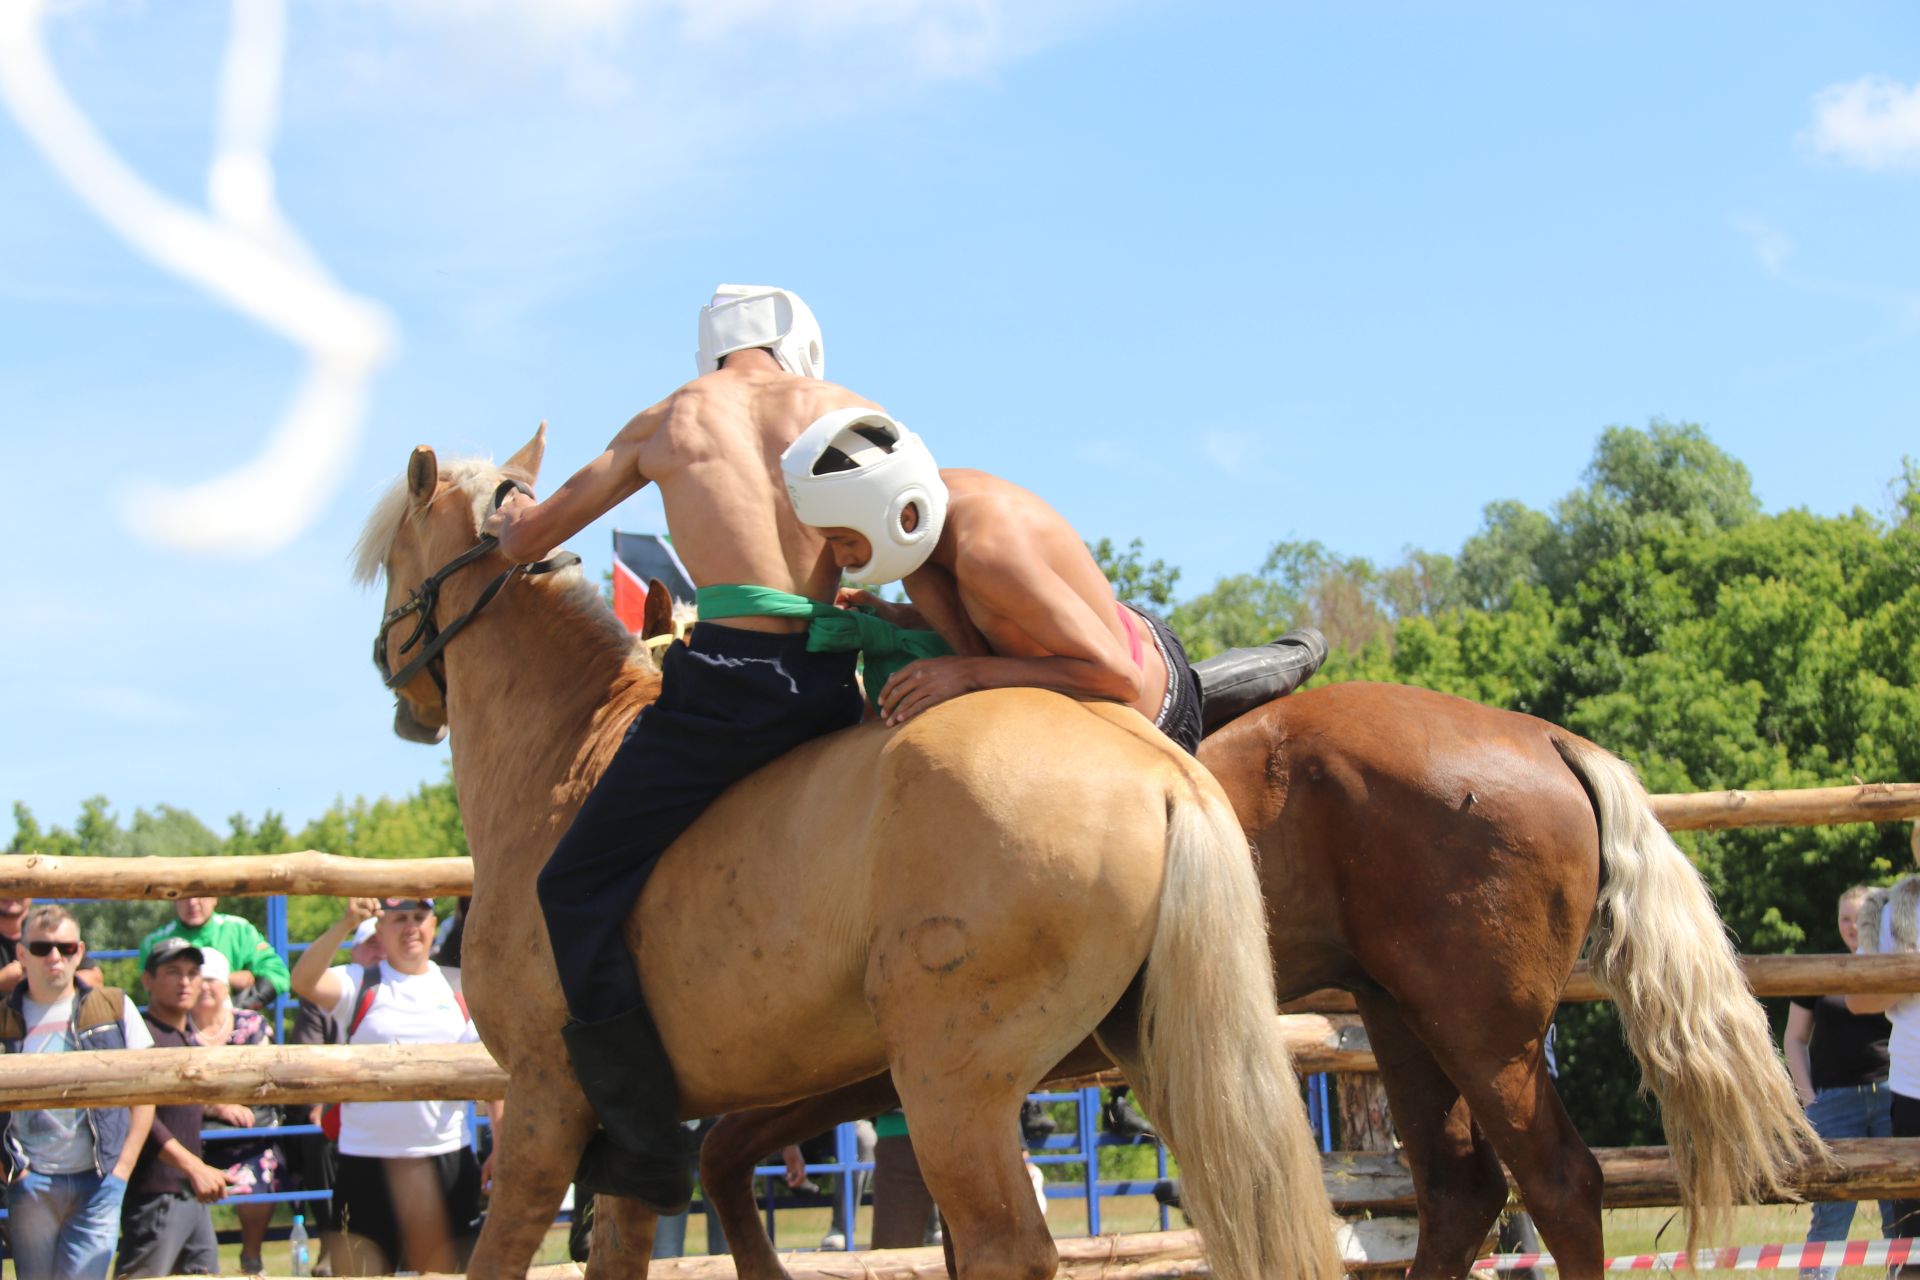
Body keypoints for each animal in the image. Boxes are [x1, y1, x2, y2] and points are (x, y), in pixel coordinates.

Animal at [357, 427, 1336, 1280]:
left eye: (394, 560)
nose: (394, 682)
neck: (570, 755)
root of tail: (1161, 768)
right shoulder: (642, 1134)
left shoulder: (544, 1102)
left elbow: (503, 1250)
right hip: (1159, 1055)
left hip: (951, 1088)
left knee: (1004, 1246)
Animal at [698, 679, 1820, 1280]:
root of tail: (1549, 737)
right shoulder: (887, 1073)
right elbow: (727, 1150)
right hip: (1403, 1020)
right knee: (1459, 1189)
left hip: (1479, 1031)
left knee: (1558, 1183)